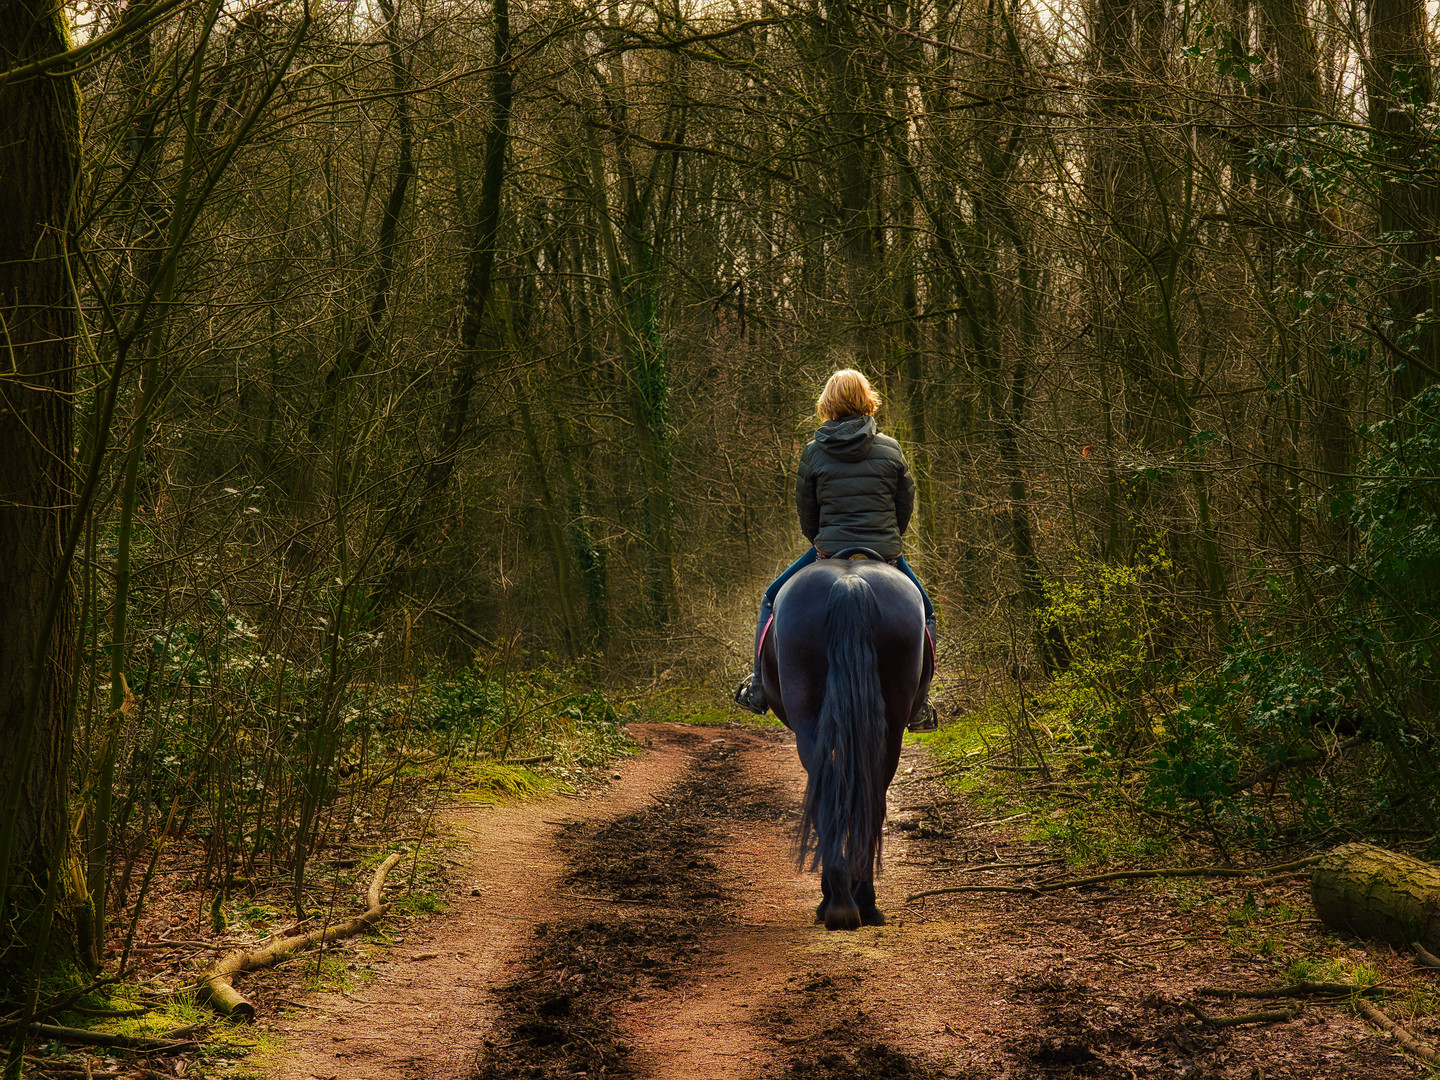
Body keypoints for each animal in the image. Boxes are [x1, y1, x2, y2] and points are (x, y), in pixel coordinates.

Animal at [760, 552, 938, 933]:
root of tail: (849, 583)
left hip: (810, 726)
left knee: (829, 794)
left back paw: (842, 902)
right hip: (889, 730)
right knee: (870, 797)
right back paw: (855, 901)